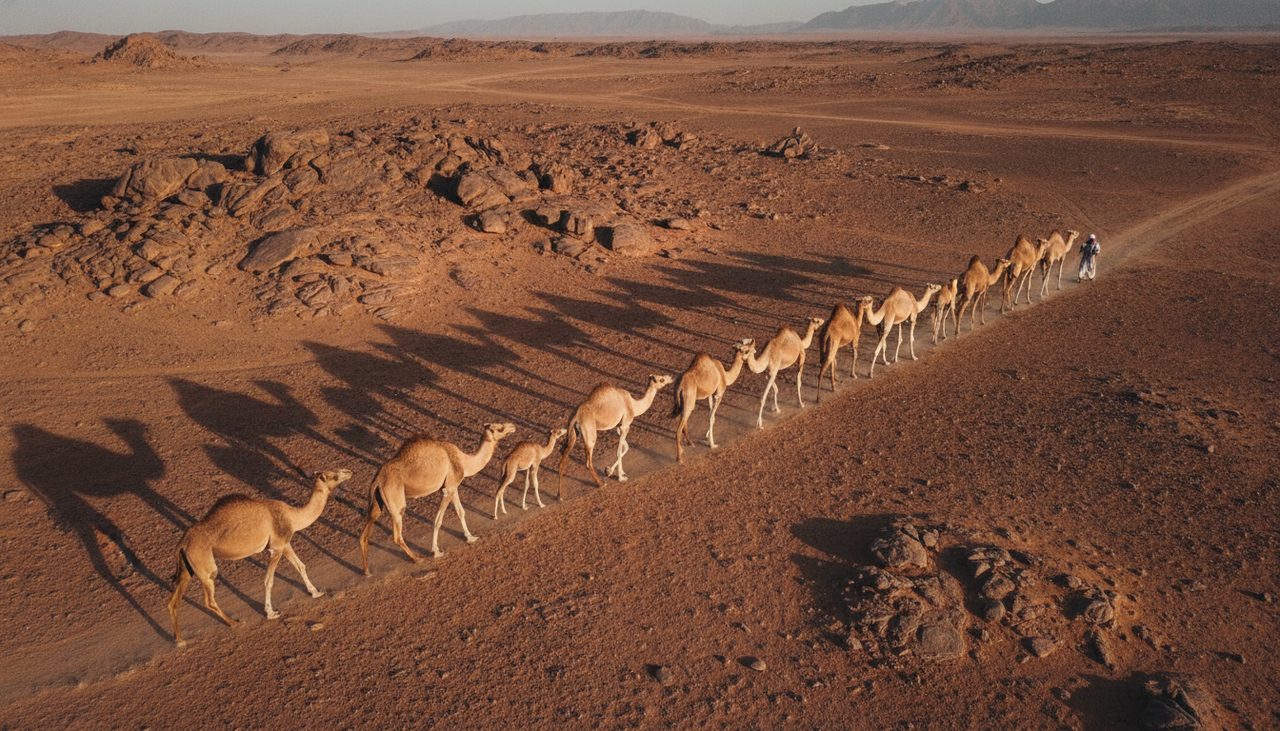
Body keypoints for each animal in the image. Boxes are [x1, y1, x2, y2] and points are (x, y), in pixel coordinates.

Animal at [168, 468, 352, 647]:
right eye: (334, 475)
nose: (349, 471)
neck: (292, 516)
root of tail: (183, 542)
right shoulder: (276, 548)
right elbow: (268, 580)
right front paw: (271, 613)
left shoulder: (284, 543)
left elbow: (301, 566)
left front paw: (315, 592)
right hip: (204, 564)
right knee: (209, 598)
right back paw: (234, 623)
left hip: (187, 566)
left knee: (173, 601)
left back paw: (179, 640)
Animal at [359, 422, 515, 575]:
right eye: (500, 428)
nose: (512, 426)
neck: (463, 461)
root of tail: (378, 479)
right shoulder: (448, 490)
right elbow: (438, 520)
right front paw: (436, 551)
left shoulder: (453, 487)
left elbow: (461, 512)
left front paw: (470, 537)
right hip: (395, 499)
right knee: (397, 534)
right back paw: (417, 559)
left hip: (377, 501)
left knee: (365, 533)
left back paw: (367, 571)